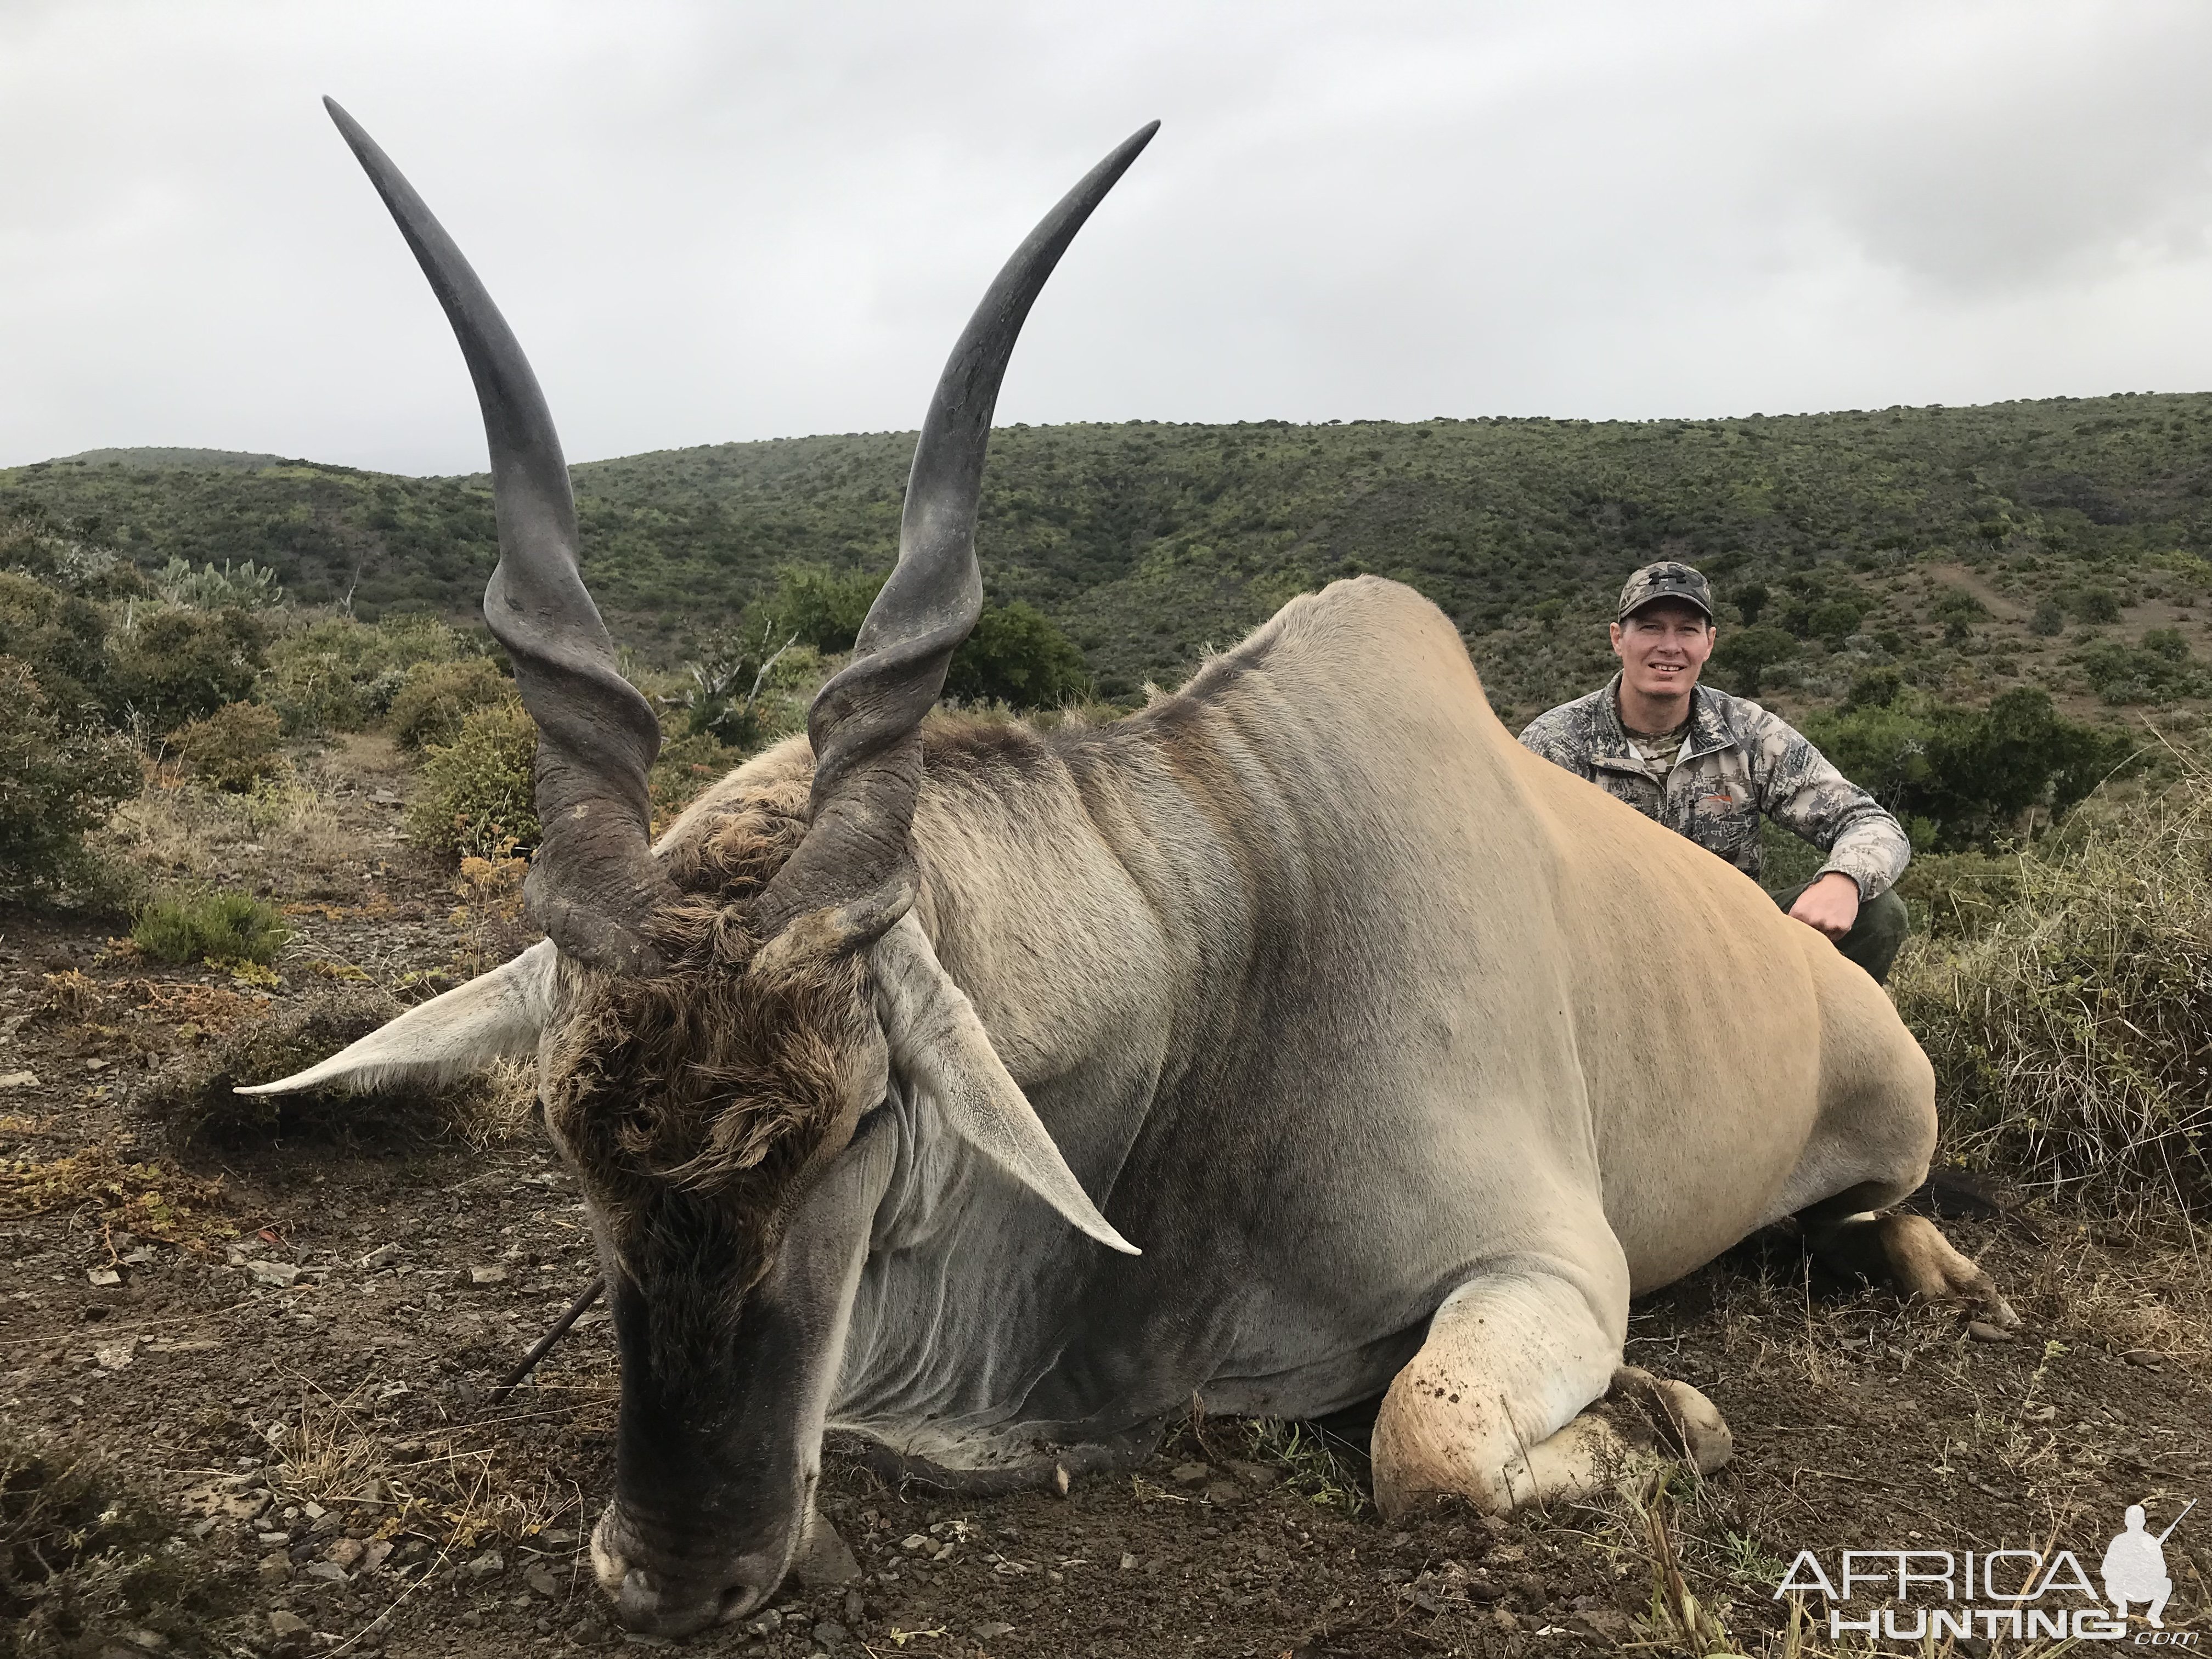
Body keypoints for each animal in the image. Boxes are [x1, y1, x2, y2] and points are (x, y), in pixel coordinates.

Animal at [258, 100, 2026, 1637]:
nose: (680, 1575)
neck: (1226, 944)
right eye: (566, 1137)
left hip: (1890, 1131)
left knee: (1886, 1217)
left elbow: (1427, 1448)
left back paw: (1944, 1278)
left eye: (860, 1120)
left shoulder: (1552, 1266)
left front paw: (1670, 1413)